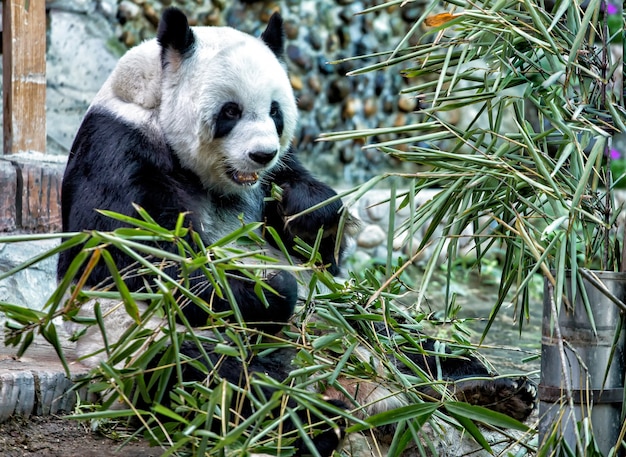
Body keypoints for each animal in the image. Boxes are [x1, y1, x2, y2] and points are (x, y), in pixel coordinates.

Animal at [59, 8, 536, 456]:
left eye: (275, 111)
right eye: (230, 111)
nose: (261, 153)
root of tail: (359, 385)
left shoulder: (279, 176)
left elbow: (317, 241)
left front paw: (307, 211)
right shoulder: (118, 145)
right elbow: (136, 261)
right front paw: (270, 287)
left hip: (345, 312)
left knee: (399, 336)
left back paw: (490, 391)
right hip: (145, 342)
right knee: (216, 378)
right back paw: (312, 422)